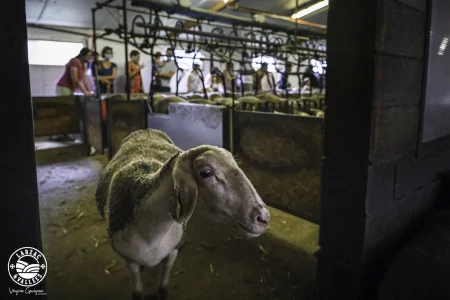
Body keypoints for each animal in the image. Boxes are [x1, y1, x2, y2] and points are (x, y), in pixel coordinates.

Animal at [94, 129, 268, 300]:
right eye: (205, 173)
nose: (263, 218)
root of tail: (146, 129)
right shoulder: (128, 261)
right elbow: (137, 293)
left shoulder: (172, 251)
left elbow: (163, 290)